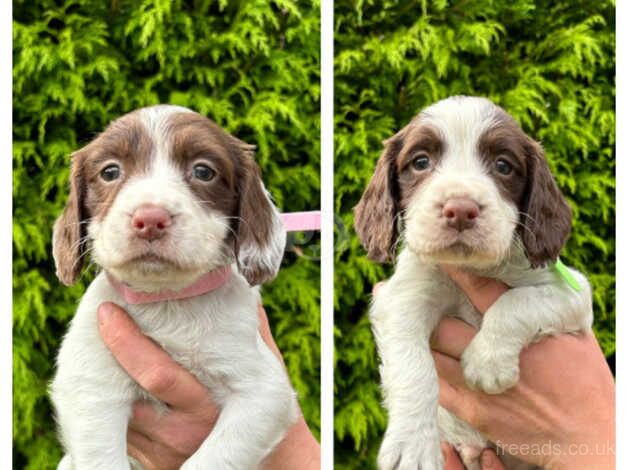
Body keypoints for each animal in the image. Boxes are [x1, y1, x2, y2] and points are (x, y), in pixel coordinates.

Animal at [49, 105, 300, 470]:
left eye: (203, 171)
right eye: (110, 171)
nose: (150, 219)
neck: (167, 300)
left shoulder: (265, 392)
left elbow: (212, 458)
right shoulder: (90, 384)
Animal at [356, 96, 592, 470]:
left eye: (503, 166)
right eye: (420, 162)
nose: (461, 210)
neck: (473, 268)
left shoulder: (573, 292)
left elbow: (518, 301)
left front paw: (487, 361)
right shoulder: (403, 296)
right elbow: (412, 366)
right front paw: (413, 445)